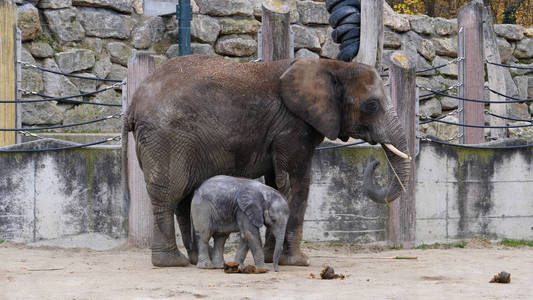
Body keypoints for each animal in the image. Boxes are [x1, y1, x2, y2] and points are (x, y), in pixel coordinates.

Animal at [125, 55, 412, 266]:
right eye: (372, 105)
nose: (375, 162)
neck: (332, 65)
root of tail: (133, 102)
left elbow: (278, 183)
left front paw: (269, 256)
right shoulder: (292, 125)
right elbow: (296, 181)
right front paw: (297, 262)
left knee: (183, 198)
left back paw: (195, 259)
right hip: (165, 137)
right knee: (168, 193)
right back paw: (171, 262)